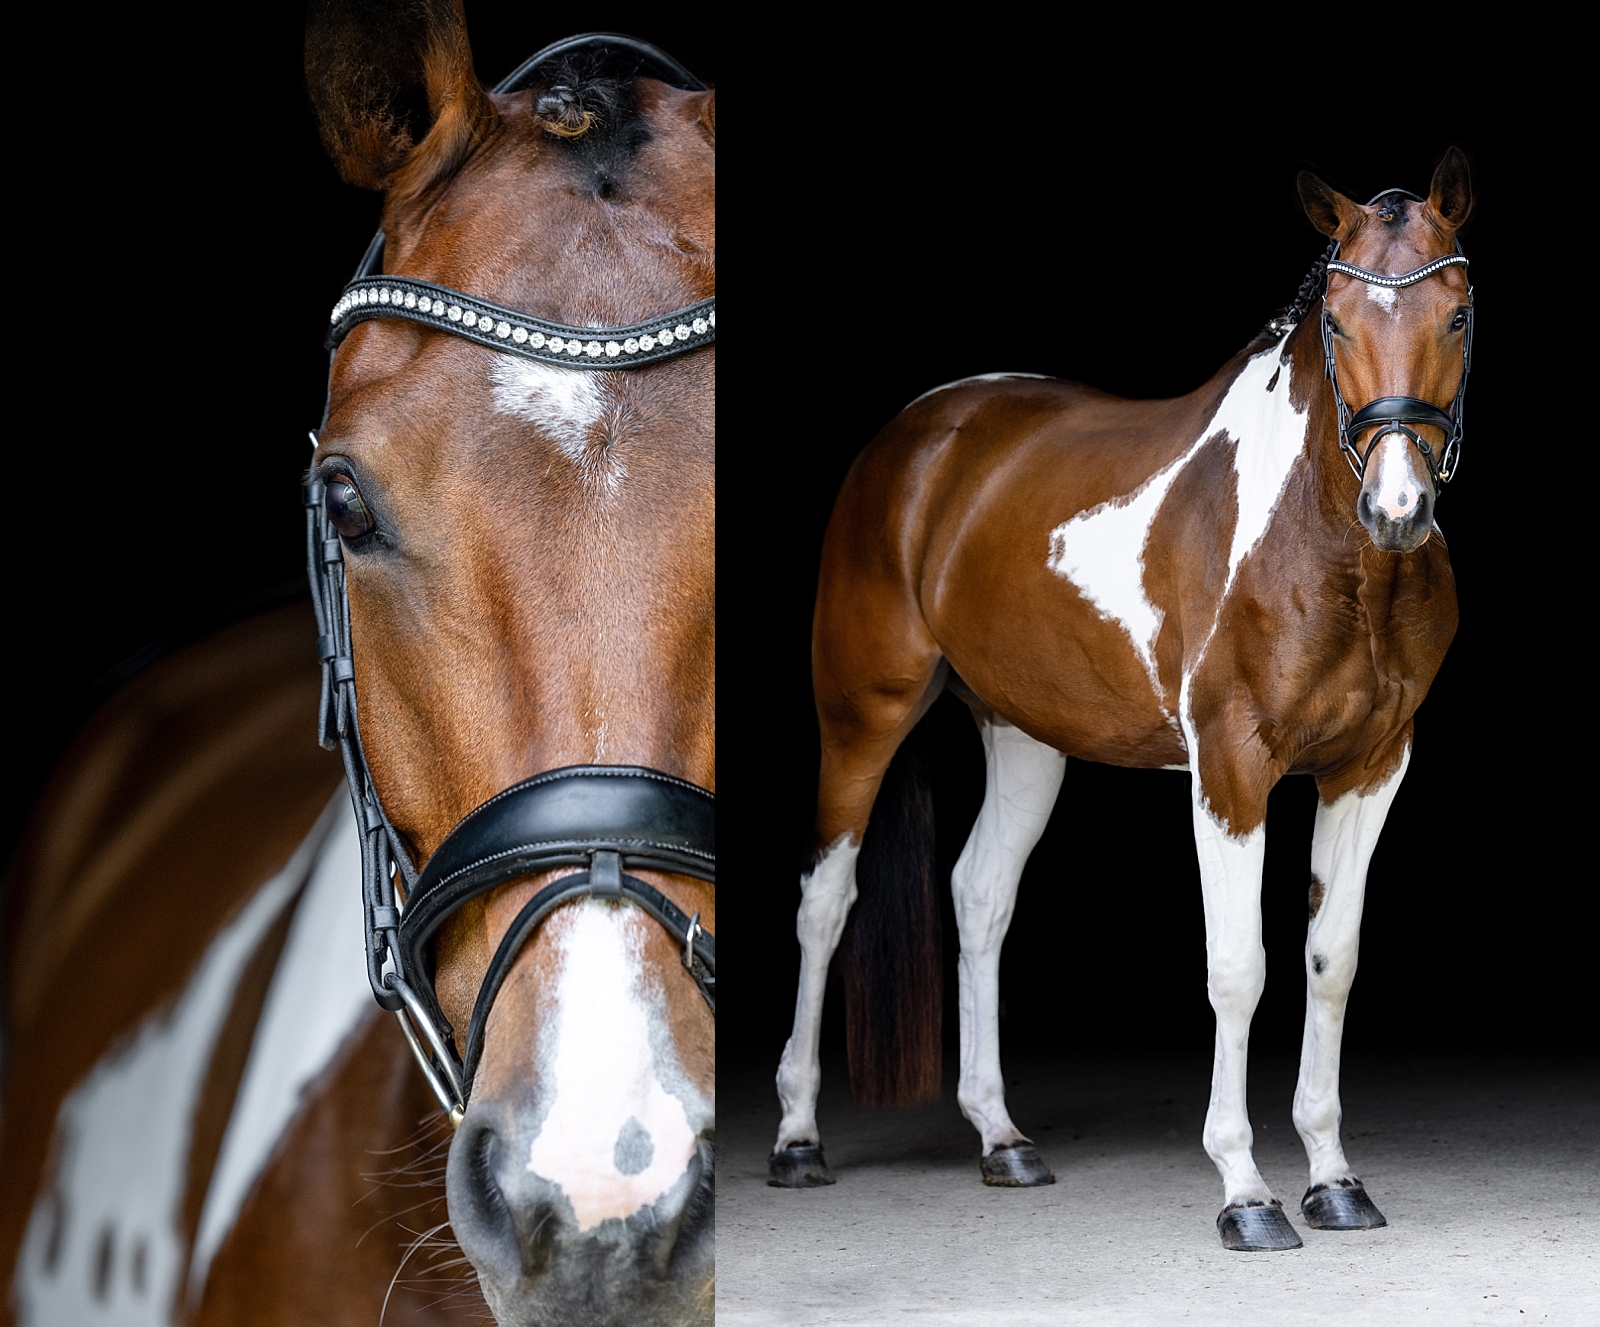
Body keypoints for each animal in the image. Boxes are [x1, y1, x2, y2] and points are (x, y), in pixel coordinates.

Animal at [768, 150, 1465, 1248]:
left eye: (1457, 314)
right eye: (1339, 321)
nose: (1398, 507)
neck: (1328, 549)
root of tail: (918, 436)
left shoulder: (1371, 766)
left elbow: (1332, 959)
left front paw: (1334, 1177)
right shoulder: (1230, 766)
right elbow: (1238, 967)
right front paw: (1246, 1190)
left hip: (1023, 734)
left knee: (980, 894)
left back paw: (1001, 1137)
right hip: (861, 715)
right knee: (824, 899)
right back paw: (797, 1138)